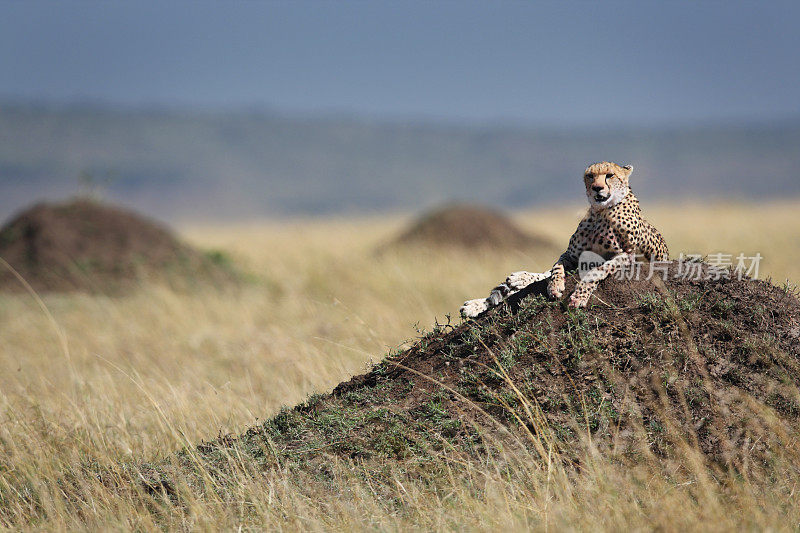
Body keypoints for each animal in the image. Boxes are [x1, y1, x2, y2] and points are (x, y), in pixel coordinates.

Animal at [460, 160, 672, 314]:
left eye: (609, 175)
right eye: (590, 176)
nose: (597, 188)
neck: (599, 213)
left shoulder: (625, 256)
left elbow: (598, 270)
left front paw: (579, 296)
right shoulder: (571, 254)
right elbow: (556, 268)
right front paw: (554, 287)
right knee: (540, 275)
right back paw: (489, 296)